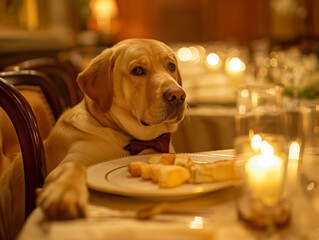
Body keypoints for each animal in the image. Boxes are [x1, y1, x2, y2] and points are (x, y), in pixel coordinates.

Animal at [37, 39, 188, 219]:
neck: (129, 138)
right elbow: (75, 165)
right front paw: (66, 191)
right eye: (137, 70)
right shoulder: (63, 166)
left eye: (171, 66)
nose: (177, 95)